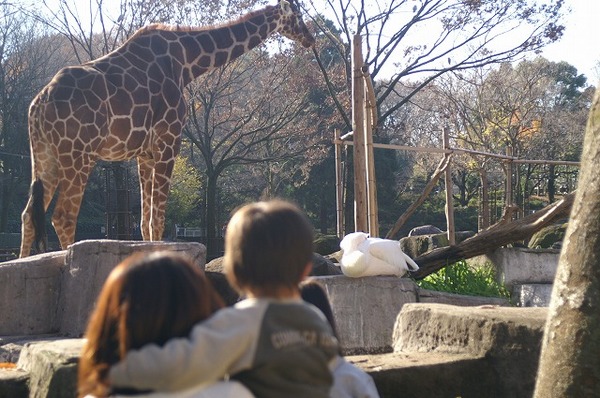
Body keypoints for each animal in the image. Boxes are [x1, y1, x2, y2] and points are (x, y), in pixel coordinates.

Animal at [19, 0, 314, 258]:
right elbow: (158, 220)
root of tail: (39, 104)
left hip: (44, 157)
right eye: (298, 15)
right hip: (79, 155)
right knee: (63, 216)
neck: (186, 62)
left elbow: (144, 222)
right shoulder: (169, 140)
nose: (310, 38)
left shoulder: (145, 154)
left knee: (29, 215)